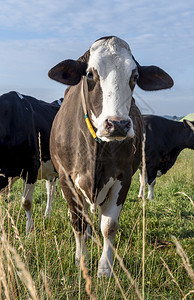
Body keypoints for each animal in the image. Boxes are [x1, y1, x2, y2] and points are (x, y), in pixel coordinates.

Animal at [48, 35, 173, 276]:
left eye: (135, 77)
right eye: (90, 74)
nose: (117, 124)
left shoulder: (123, 177)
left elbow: (109, 226)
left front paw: (105, 268)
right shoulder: (66, 177)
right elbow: (78, 221)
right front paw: (82, 261)